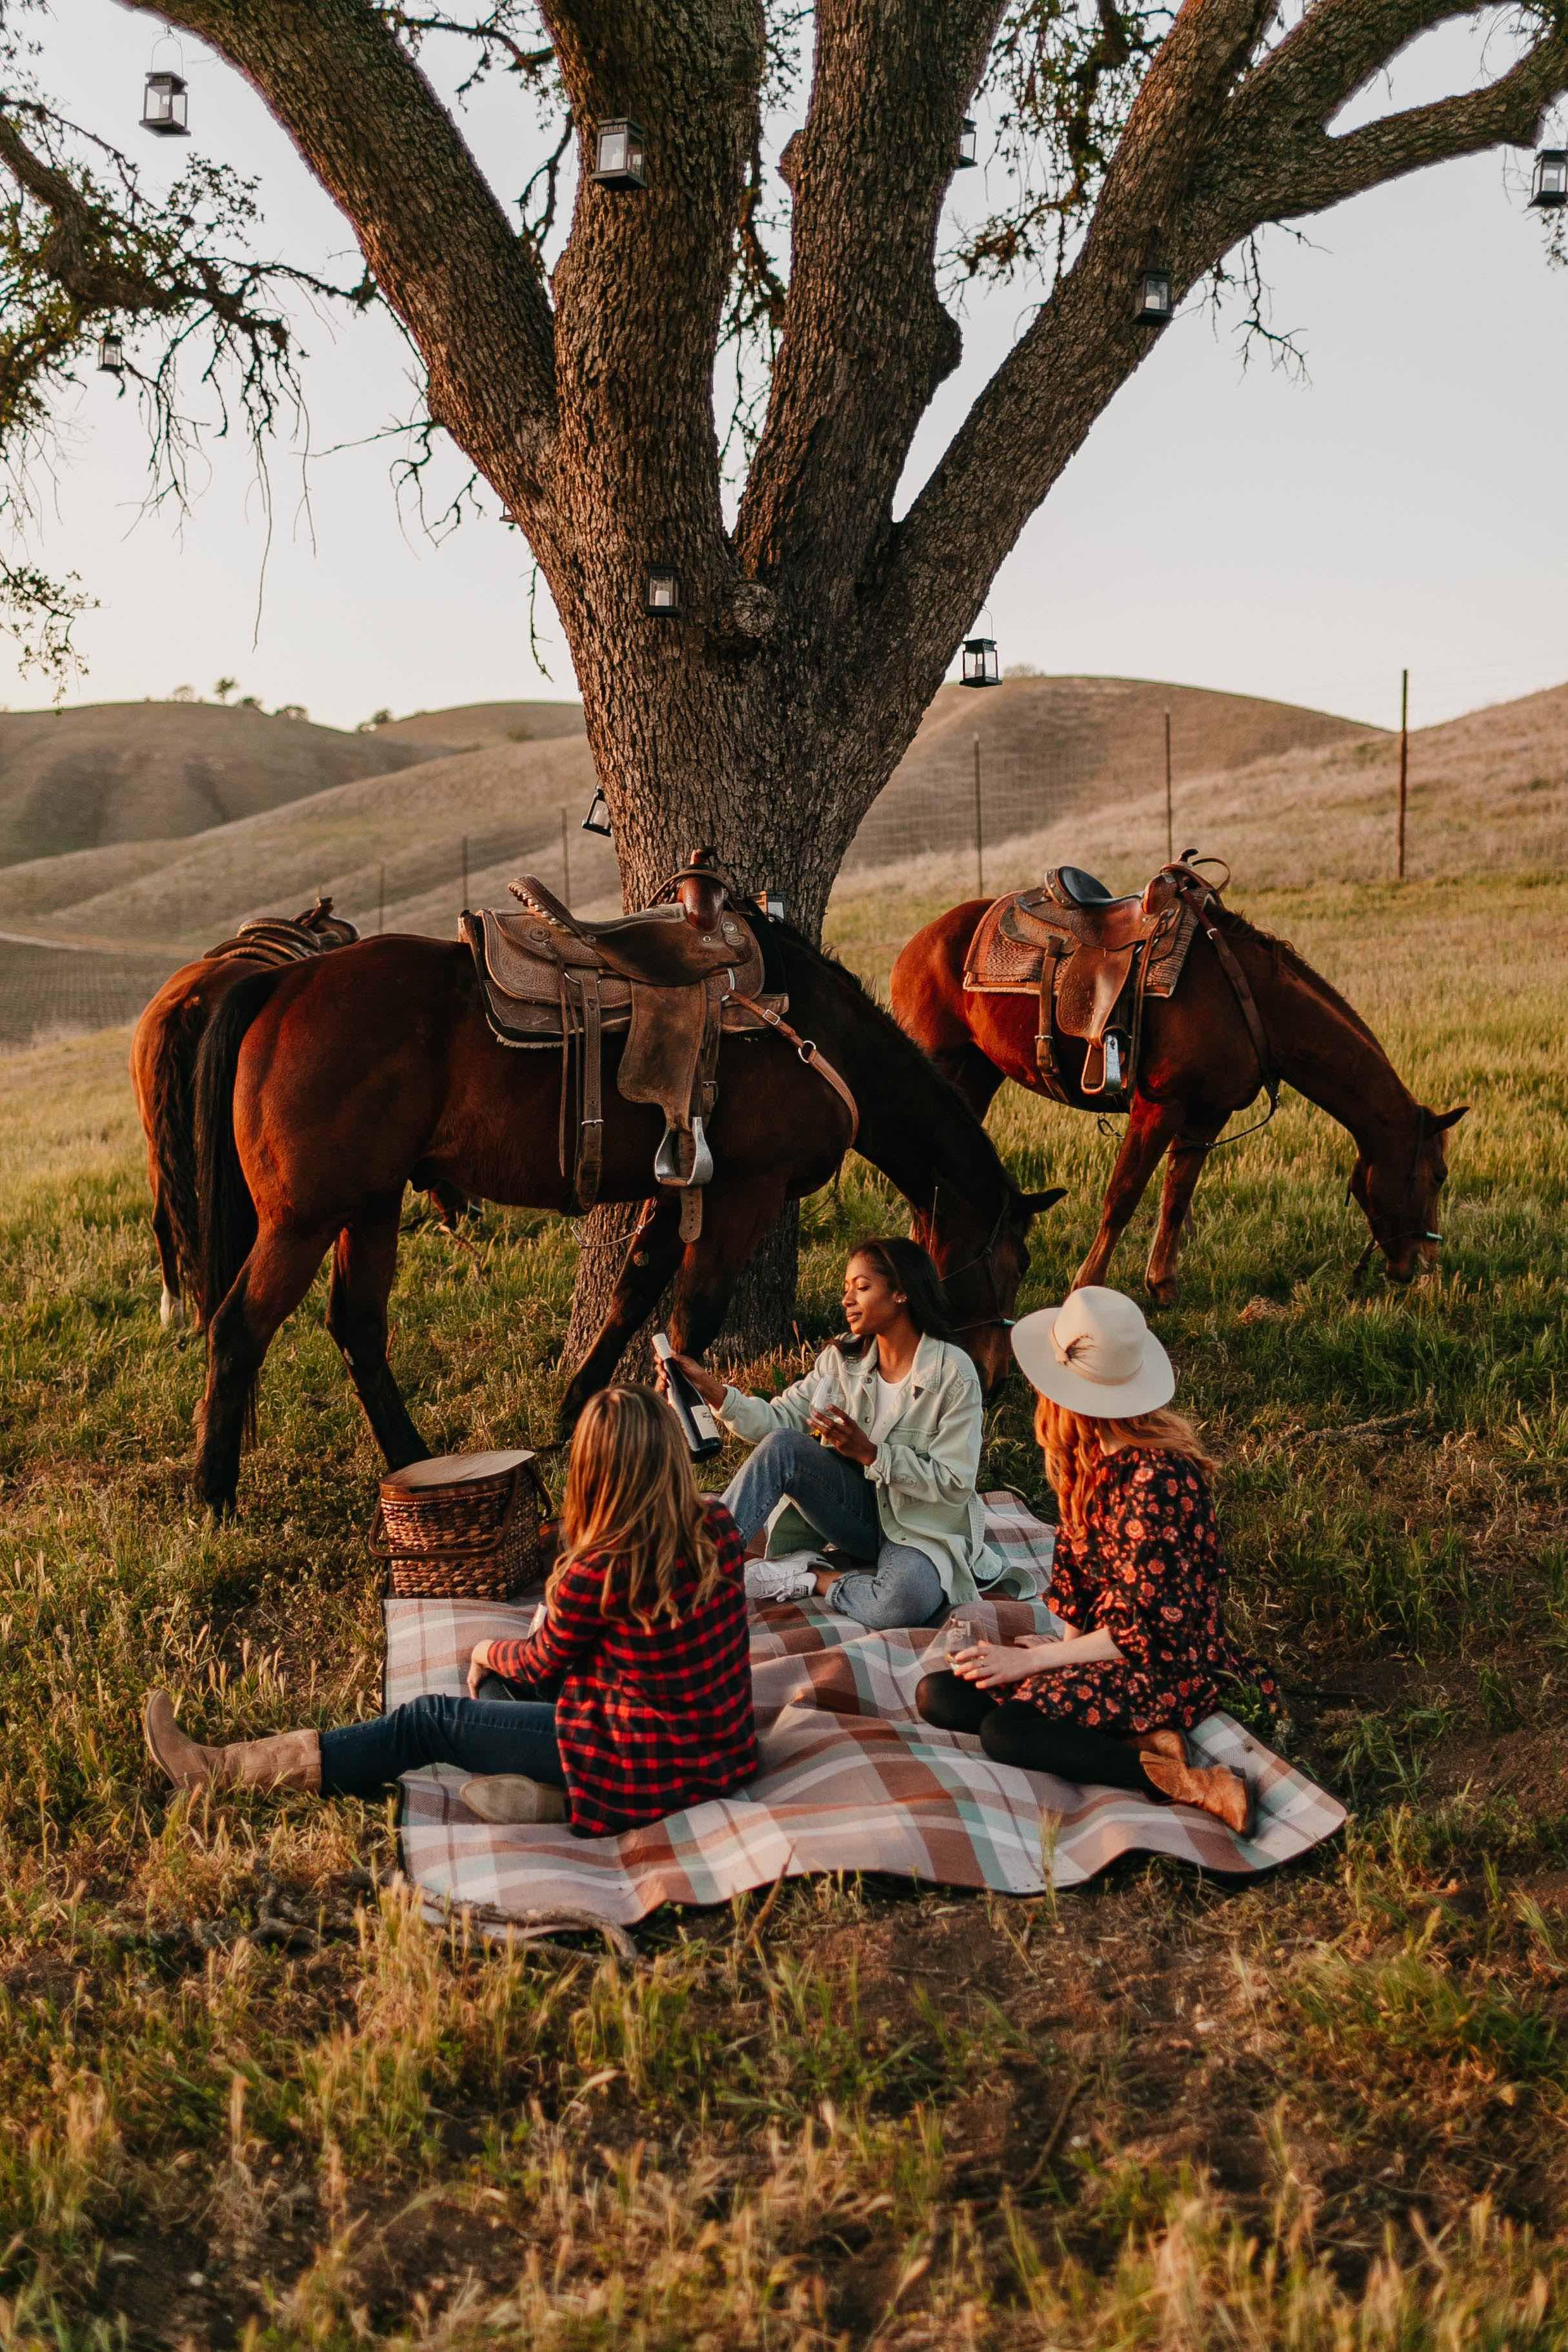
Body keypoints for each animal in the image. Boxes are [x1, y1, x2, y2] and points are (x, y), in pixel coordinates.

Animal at [186, 917, 1067, 1505]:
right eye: (1012, 1262)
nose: (994, 1377)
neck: (810, 1032)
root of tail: (282, 983)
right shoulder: (742, 1192)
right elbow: (692, 1314)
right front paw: (692, 1431)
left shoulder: (676, 1188)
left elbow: (632, 1296)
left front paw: (574, 1410)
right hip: (304, 1220)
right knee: (238, 1329)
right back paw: (213, 1493)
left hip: (367, 1209)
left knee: (359, 1330)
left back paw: (411, 1459)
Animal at [893, 884, 1476, 1307]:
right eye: (1438, 1175)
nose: (1422, 1263)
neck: (1249, 1000)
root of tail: (919, 940)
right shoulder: (1160, 1105)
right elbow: (1123, 1195)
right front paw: (1087, 1288)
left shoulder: (1207, 1114)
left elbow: (1176, 1196)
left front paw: (1162, 1285)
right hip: (941, 1062)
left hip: (977, 1073)